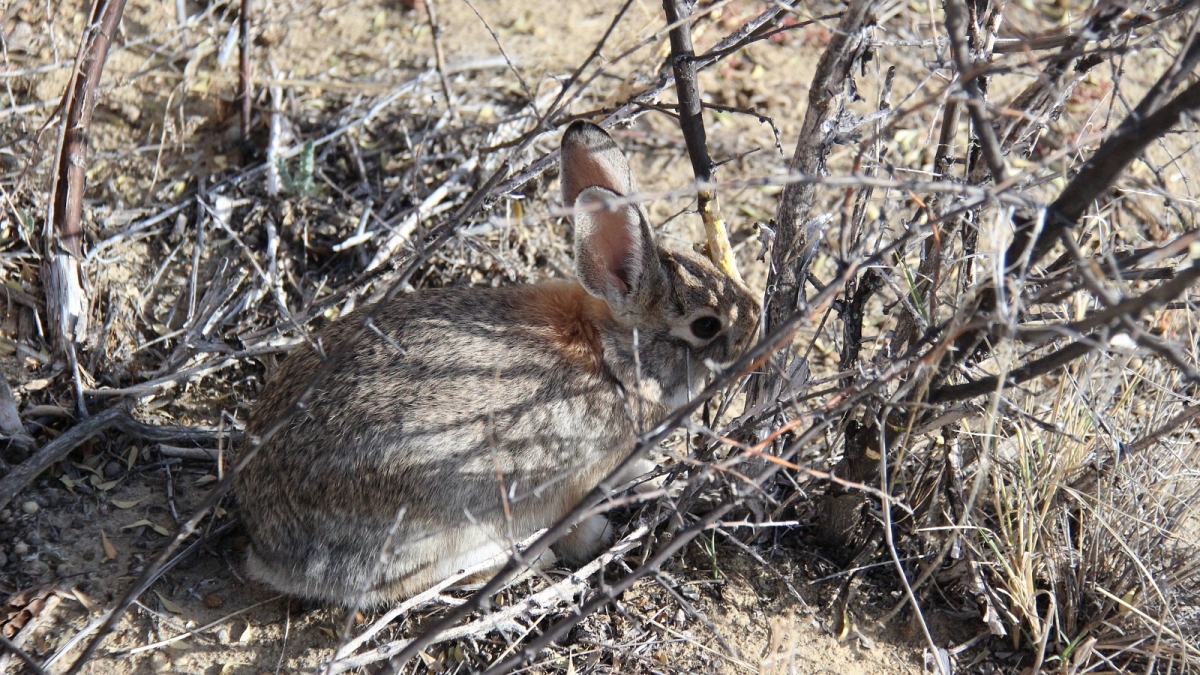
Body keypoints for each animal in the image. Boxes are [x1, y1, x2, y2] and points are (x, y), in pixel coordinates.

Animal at [234, 120, 758, 605]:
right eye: (706, 326)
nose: (755, 322)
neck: (611, 355)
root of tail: (265, 544)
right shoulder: (576, 485)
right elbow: (575, 528)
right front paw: (597, 539)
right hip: (437, 522)